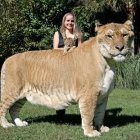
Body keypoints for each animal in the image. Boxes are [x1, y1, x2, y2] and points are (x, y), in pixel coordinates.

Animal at [0, 20, 133, 137]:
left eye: (124, 35)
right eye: (109, 36)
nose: (120, 47)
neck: (109, 63)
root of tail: (7, 59)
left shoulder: (103, 95)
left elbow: (100, 114)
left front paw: (101, 128)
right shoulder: (89, 95)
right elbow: (89, 114)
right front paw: (91, 132)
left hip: (22, 94)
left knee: (14, 109)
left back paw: (20, 124)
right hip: (12, 90)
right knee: (3, 107)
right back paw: (6, 125)